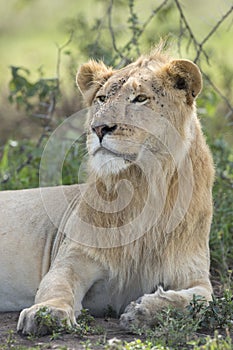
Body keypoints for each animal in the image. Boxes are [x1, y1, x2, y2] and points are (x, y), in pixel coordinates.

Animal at [0, 45, 215, 334]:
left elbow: (197, 302)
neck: (142, 188)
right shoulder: (72, 258)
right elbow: (56, 286)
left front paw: (143, 311)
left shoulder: (195, 276)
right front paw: (47, 314)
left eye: (140, 99)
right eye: (101, 99)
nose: (99, 128)